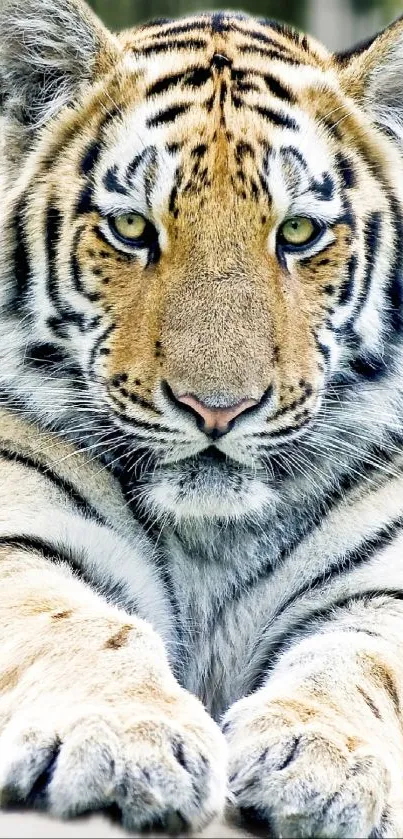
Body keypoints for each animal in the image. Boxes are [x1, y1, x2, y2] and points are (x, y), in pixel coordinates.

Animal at [0, 0, 403, 836]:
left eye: (297, 233)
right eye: (130, 228)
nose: (217, 408)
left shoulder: (384, 582)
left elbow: (361, 662)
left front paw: (325, 761)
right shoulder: (21, 528)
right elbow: (77, 624)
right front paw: (124, 739)